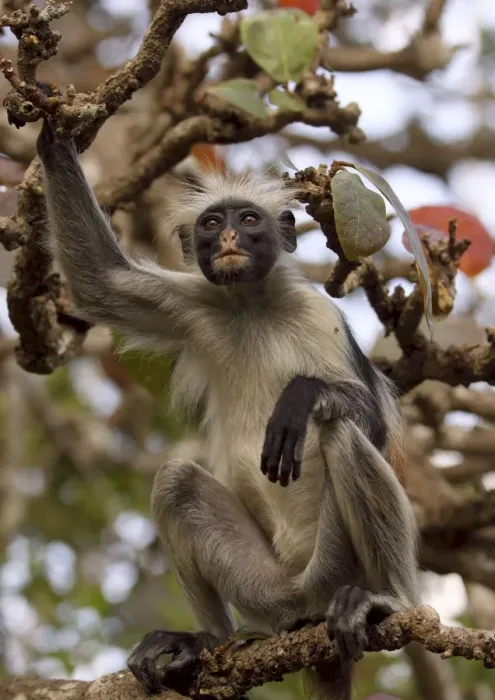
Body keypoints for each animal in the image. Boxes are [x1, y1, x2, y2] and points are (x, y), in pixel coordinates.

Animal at [36, 119, 418, 700]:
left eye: (250, 219)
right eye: (213, 223)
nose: (230, 239)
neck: (250, 304)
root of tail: (306, 596)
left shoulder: (319, 314)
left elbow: (370, 419)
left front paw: (301, 397)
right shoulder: (194, 302)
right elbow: (98, 281)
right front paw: (54, 137)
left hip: (335, 567)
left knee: (342, 430)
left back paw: (389, 601)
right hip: (267, 590)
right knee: (177, 482)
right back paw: (205, 643)